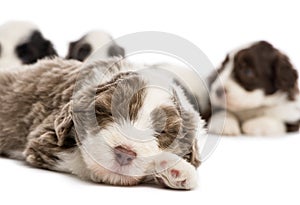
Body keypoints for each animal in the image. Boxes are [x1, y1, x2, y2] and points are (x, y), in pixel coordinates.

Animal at [0, 56, 204, 190]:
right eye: (108, 112)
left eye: (162, 131)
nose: (124, 154)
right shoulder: (46, 137)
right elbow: (83, 158)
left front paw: (175, 170)